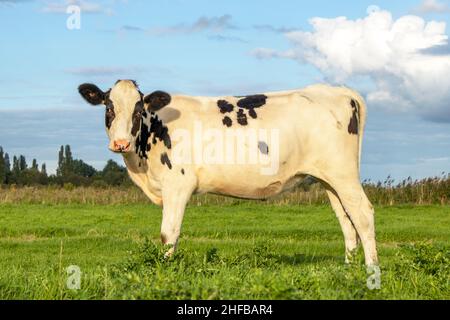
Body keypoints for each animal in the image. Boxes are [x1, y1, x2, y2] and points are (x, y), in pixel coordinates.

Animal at [79, 80, 378, 268]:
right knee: (346, 218)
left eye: (138, 109)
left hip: (343, 173)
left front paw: (164, 269)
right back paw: (348, 267)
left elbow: (168, 233)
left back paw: (370, 269)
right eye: (109, 107)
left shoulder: (178, 184)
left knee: (362, 213)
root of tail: (339, 91)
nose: (120, 143)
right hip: (330, 179)